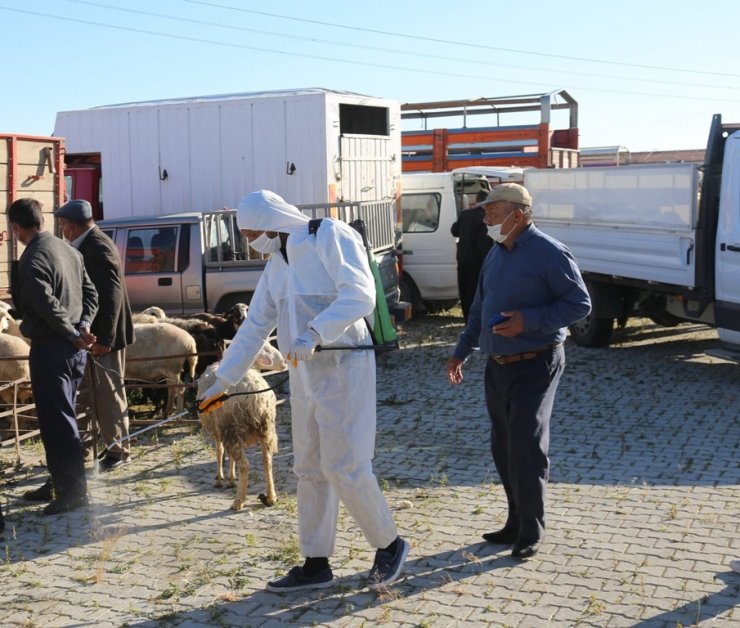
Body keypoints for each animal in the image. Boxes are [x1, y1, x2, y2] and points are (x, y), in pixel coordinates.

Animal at [197, 364, 278, 510]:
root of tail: (255, 395)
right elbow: (229, 456)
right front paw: (230, 479)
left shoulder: (219, 430)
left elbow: (219, 452)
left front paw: (220, 479)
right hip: (266, 428)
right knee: (267, 461)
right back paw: (270, 497)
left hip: (232, 426)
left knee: (244, 465)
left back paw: (239, 501)